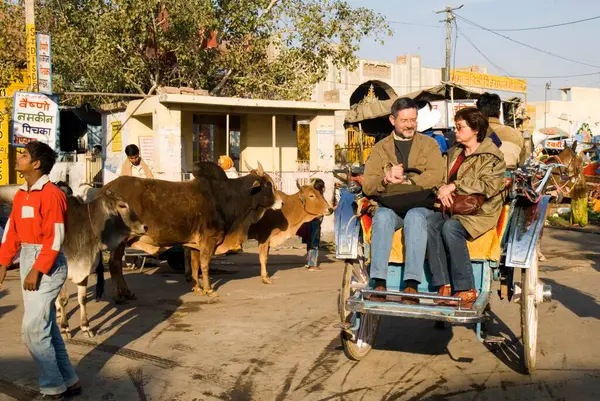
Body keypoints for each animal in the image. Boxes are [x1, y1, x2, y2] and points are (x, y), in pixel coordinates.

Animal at [99, 162, 280, 300]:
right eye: (268, 184)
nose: (280, 202)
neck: (226, 197)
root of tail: (103, 190)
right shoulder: (209, 239)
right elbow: (205, 264)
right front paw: (209, 289)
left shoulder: (194, 244)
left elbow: (194, 265)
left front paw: (197, 288)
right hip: (119, 241)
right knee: (115, 265)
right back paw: (120, 295)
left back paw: (126, 293)